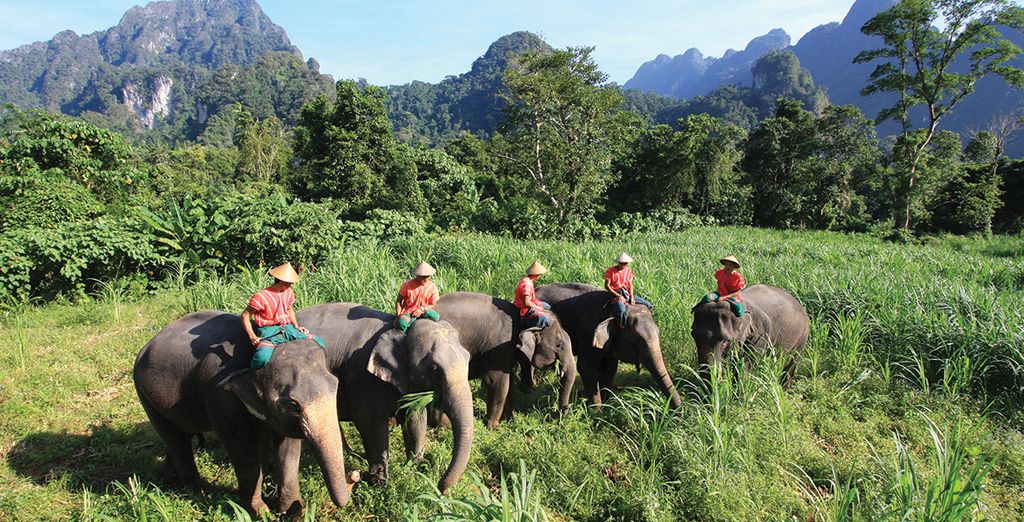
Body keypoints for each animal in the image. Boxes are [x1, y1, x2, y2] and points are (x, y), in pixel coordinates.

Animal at [133, 311, 357, 516]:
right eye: (294, 406)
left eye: (336, 385)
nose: (354, 475)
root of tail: (147, 345)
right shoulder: (220, 397)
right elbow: (242, 448)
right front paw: (261, 512)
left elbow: (288, 446)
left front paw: (292, 511)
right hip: (145, 395)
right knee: (175, 440)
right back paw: (196, 493)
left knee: (180, 436)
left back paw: (170, 482)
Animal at [433, 291, 575, 428]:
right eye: (559, 345)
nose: (554, 415)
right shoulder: (499, 345)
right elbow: (497, 382)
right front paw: (493, 426)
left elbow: (509, 383)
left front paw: (509, 419)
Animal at [535, 283, 682, 408]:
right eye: (636, 340)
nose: (677, 413)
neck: (613, 309)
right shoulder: (588, 333)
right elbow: (586, 367)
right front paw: (596, 411)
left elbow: (610, 368)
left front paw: (606, 404)